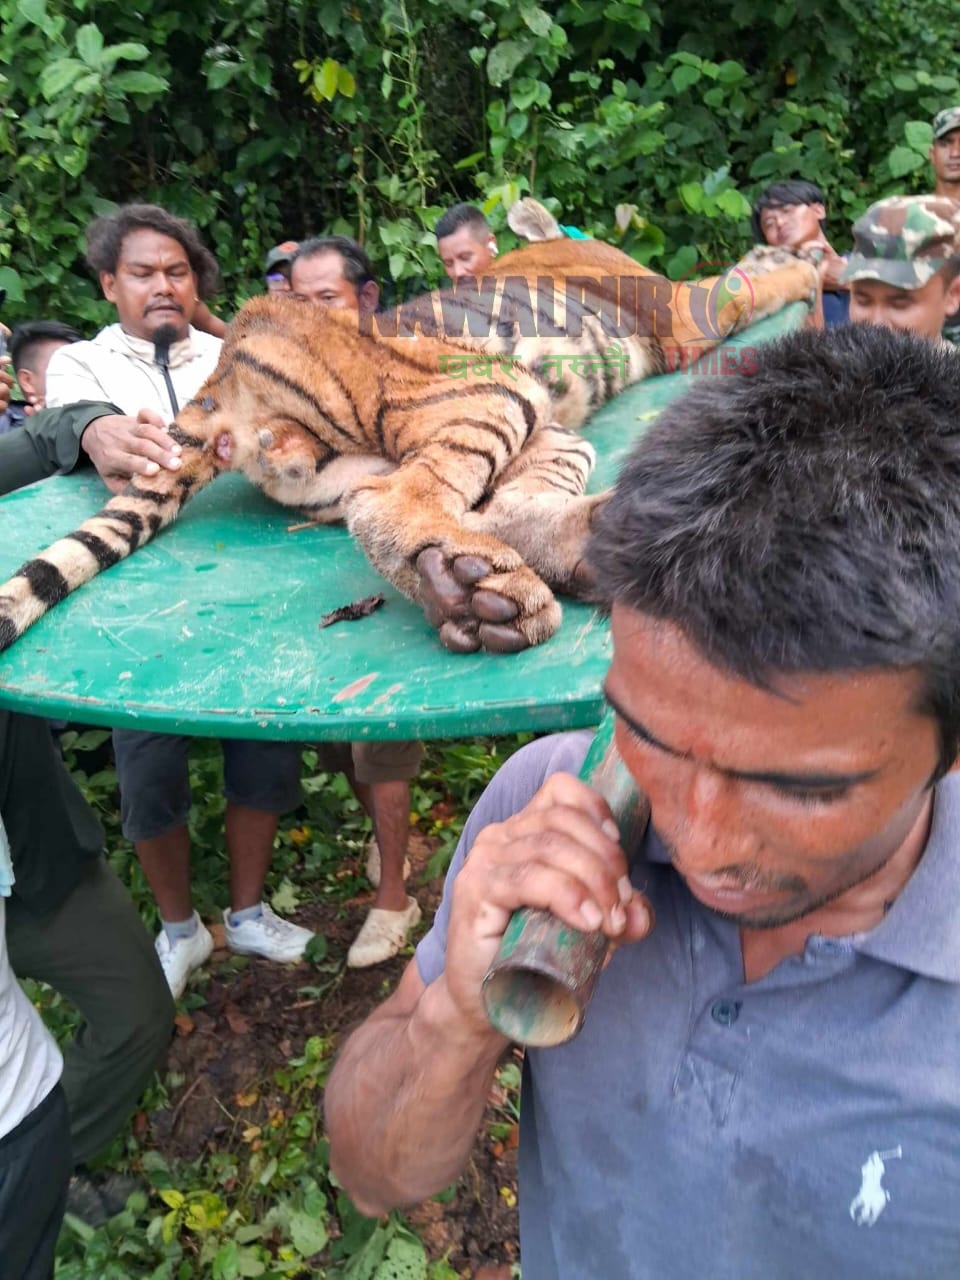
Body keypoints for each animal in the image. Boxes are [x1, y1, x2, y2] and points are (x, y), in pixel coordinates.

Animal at [0, 216, 819, 655]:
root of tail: (212, 385)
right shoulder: (683, 311)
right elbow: (750, 284)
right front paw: (801, 261)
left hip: (513, 428)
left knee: (491, 504)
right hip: (490, 388)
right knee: (400, 500)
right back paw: (476, 589)